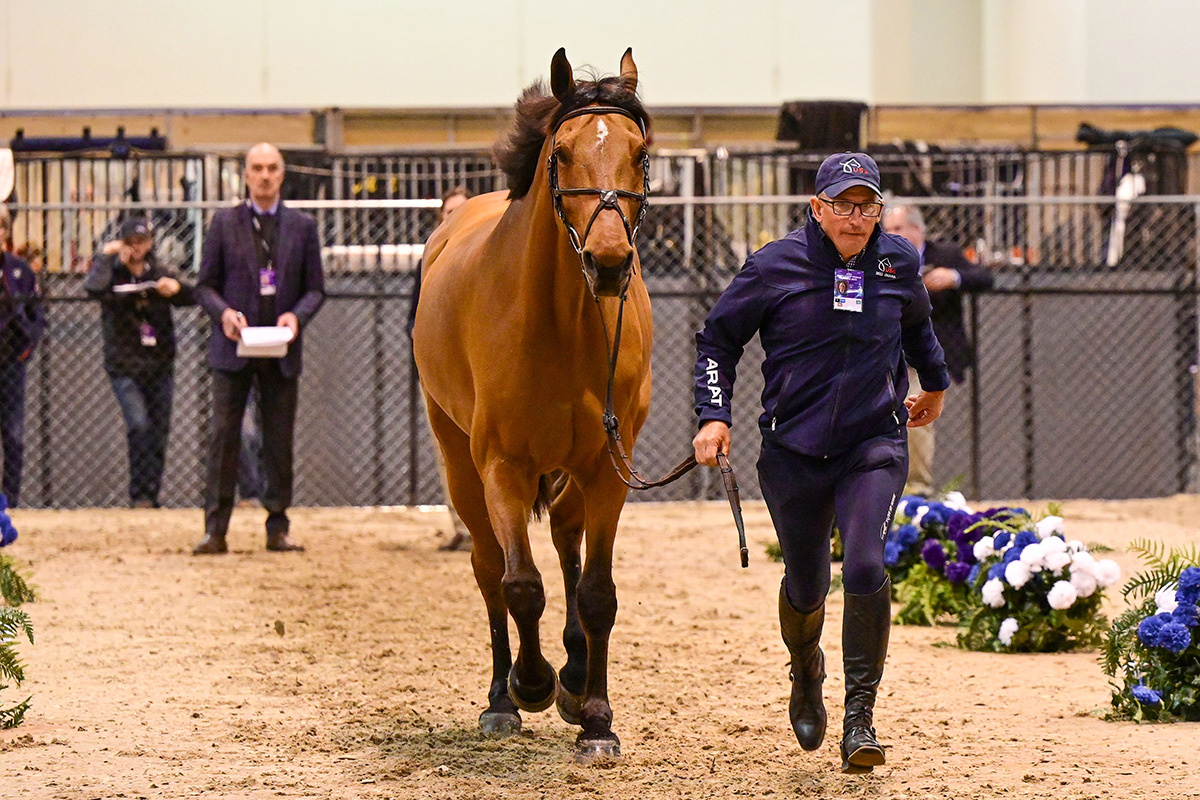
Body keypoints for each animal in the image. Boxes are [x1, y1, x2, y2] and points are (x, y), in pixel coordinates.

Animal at [415, 47, 657, 762]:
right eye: (564, 152)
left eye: (640, 152)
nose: (609, 262)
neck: (564, 323)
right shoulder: (503, 466)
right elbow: (520, 585)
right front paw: (529, 685)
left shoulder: (608, 470)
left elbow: (597, 592)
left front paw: (597, 717)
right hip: (460, 466)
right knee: (489, 567)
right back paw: (505, 696)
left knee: (567, 545)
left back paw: (575, 680)